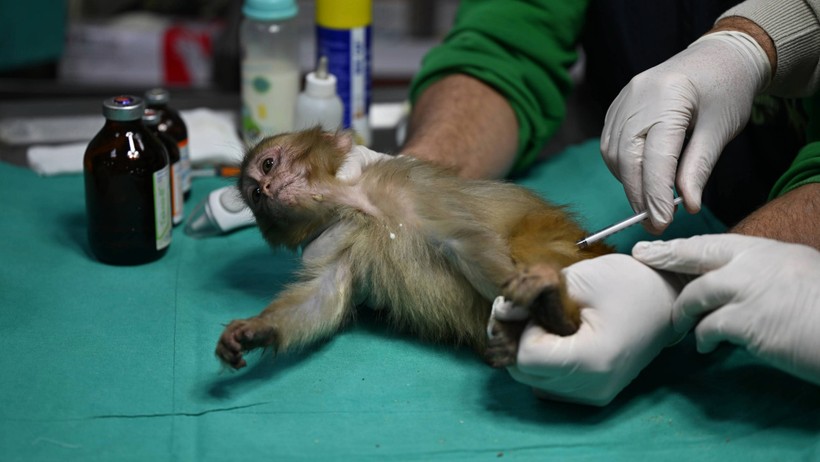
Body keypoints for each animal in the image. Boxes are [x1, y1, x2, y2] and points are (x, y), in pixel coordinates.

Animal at [215, 127, 612, 372]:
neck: (360, 206)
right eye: (255, 195)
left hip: (566, 243)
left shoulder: (410, 191)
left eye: (269, 164)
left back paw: (557, 313)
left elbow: (466, 241)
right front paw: (255, 330)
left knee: (527, 240)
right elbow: (325, 297)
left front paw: (527, 313)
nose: (267, 189)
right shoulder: (341, 238)